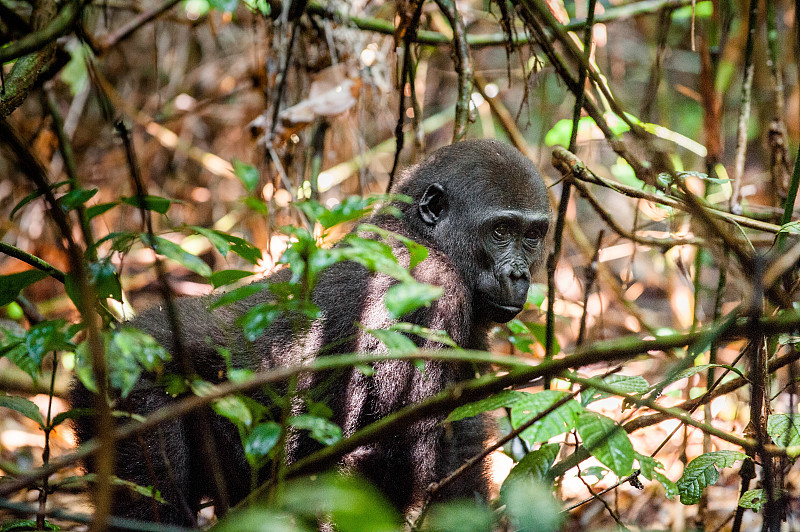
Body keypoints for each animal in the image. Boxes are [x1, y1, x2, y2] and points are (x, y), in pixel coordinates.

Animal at [72, 139, 552, 524]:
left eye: (532, 235)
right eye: (501, 231)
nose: (519, 275)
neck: (425, 235)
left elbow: (459, 450)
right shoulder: (431, 290)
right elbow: (390, 462)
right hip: (127, 397)